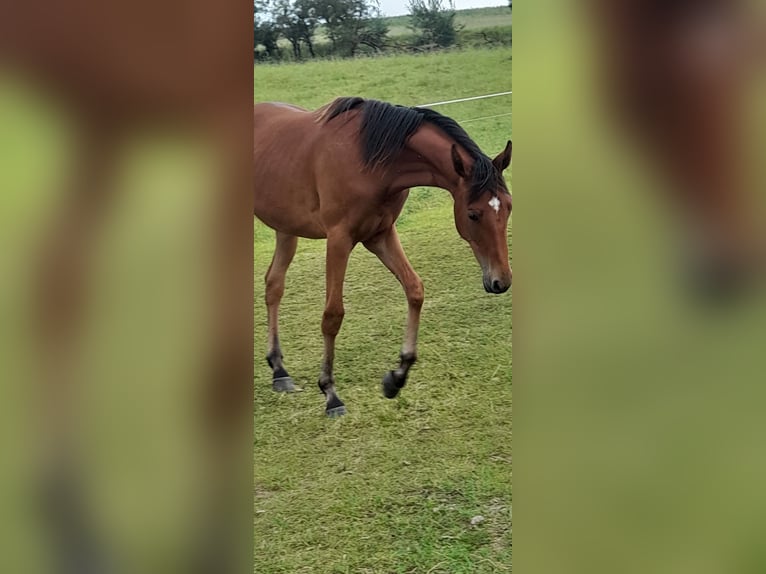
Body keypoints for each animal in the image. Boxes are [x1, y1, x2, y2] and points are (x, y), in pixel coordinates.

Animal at [254, 96, 512, 417]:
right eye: (473, 214)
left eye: (509, 207)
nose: (501, 281)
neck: (371, 160)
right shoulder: (339, 239)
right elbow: (332, 315)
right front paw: (330, 392)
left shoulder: (381, 235)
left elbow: (414, 290)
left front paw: (396, 378)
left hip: (286, 229)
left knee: (274, 285)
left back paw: (279, 371)